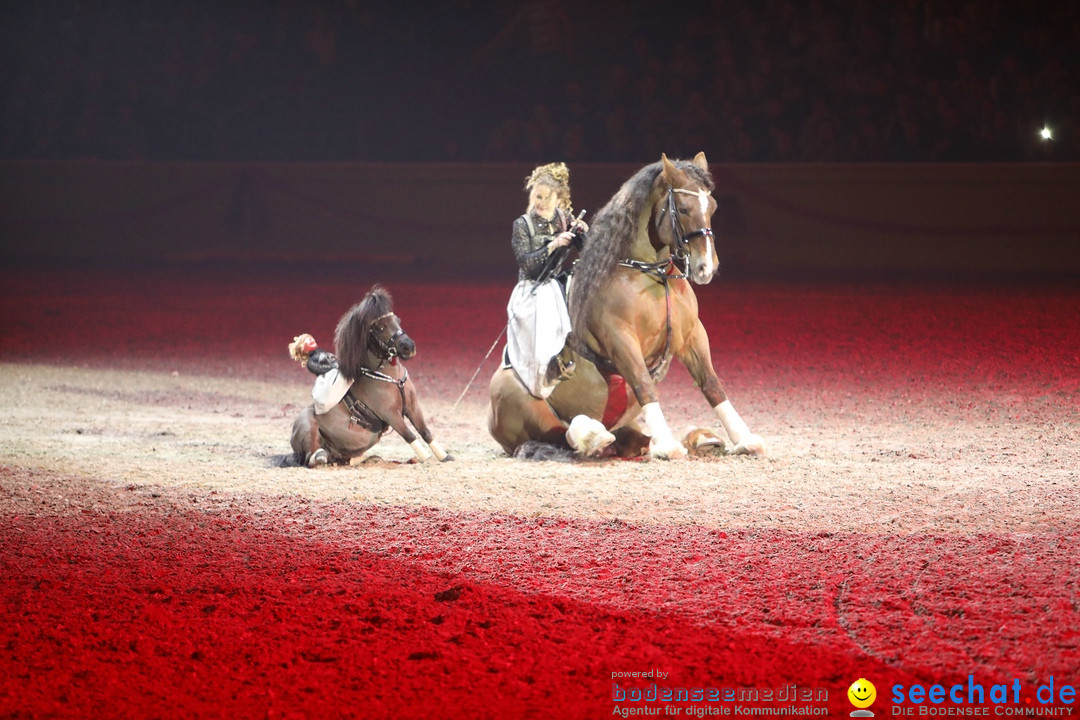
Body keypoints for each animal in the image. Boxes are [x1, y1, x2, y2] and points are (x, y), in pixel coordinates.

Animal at [289, 284, 449, 468]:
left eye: (398, 321)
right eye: (380, 328)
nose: (408, 346)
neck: (392, 380)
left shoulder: (413, 406)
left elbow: (425, 431)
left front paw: (445, 456)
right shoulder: (390, 414)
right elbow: (409, 434)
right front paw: (425, 458)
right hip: (308, 426)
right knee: (311, 457)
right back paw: (320, 457)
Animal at [486, 153, 764, 462]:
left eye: (712, 207)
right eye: (683, 208)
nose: (706, 267)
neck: (649, 275)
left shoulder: (692, 335)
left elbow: (711, 383)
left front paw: (745, 439)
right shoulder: (620, 339)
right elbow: (643, 383)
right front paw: (667, 445)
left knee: (625, 438)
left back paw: (698, 439)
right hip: (518, 403)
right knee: (563, 434)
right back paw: (592, 435)